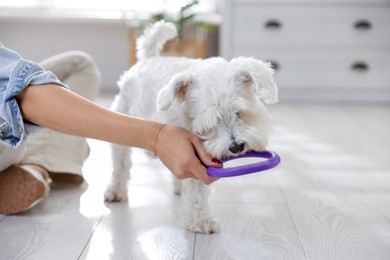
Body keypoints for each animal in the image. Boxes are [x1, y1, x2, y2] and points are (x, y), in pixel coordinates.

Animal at [105, 20, 278, 234]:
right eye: (211, 123)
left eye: (239, 113)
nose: (236, 147)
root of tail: (148, 59)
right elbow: (197, 190)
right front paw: (201, 221)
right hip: (122, 120)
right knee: (120, 163)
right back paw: (116, 191)